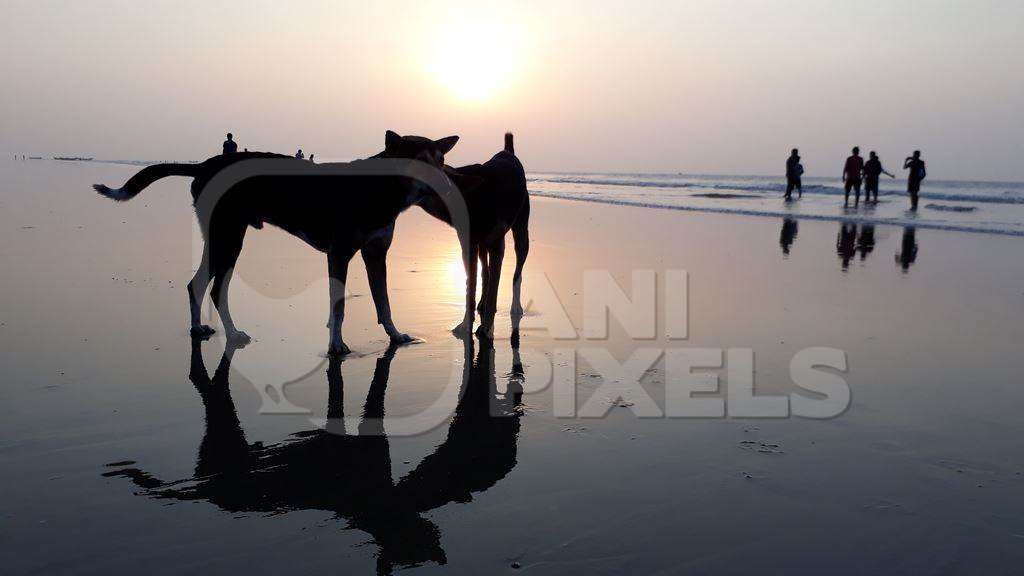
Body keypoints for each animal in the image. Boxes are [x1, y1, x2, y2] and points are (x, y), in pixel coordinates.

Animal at [92, 131, 460, 354]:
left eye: (440, 160)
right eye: (418, 161)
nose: (446, 185)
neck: (381, 188)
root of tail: (206, 164)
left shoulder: (376, 254)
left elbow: (383, 301)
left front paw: (395, 336)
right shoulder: (339, 254)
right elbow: (338, 307)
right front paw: (336, 345)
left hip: (223, 237)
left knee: (198, 285)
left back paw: (201, 329)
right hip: (228, 237)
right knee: (211, 287)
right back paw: (228, 332)